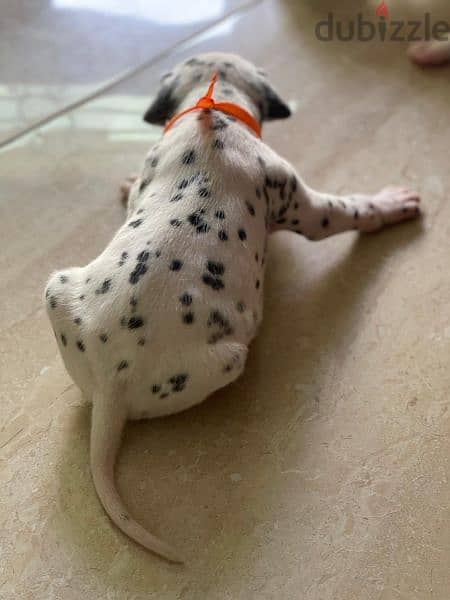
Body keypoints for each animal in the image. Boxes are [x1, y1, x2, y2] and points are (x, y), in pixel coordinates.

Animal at [44, 51, 420, 564]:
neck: (212, 113)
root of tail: (110, 387)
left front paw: (127, 185)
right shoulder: (306, 206)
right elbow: (351, 209)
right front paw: (390, 203)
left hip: (56, 288)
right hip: (230, 358)